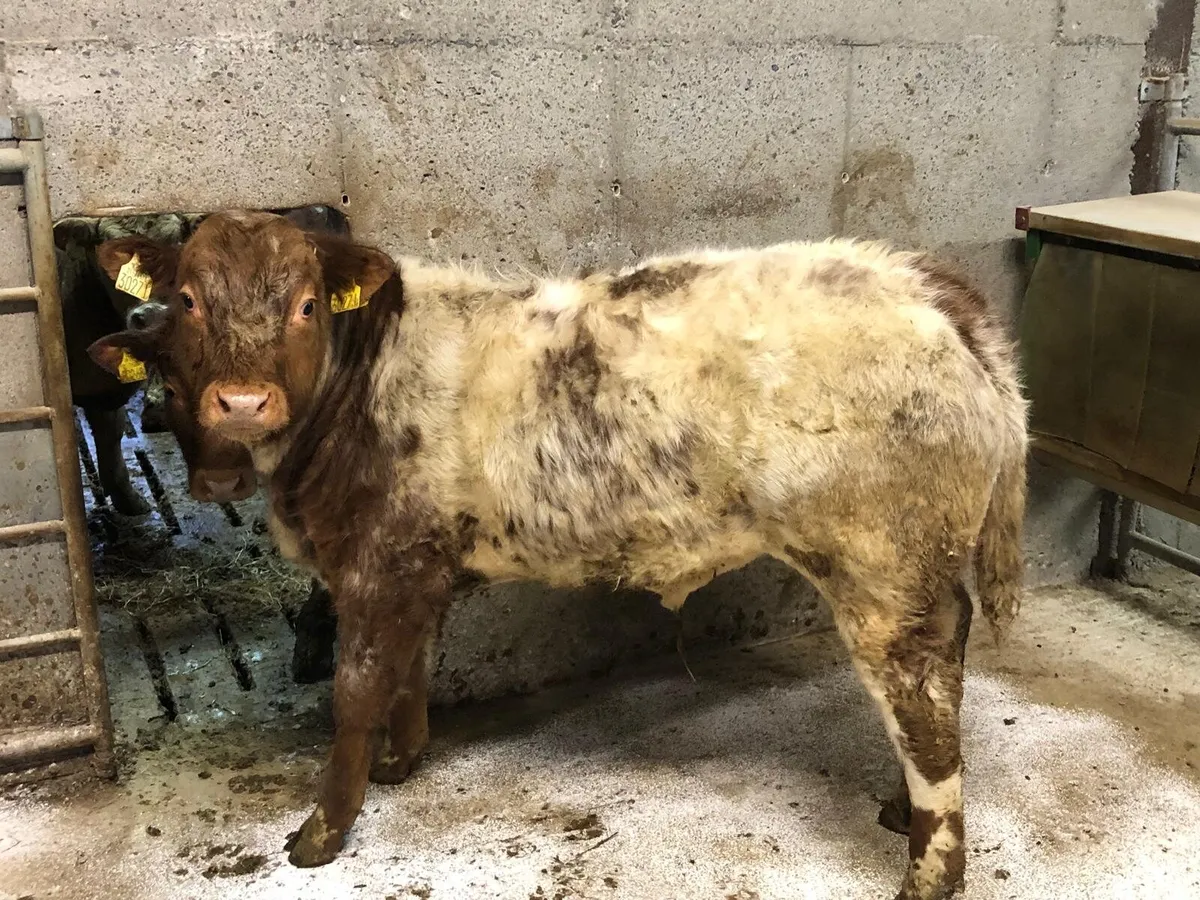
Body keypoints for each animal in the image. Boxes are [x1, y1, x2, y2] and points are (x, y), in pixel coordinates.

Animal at [87, 211, 1027, 900]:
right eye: (189, 300)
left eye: (307, 306)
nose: (242, 402)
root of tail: (917, 279)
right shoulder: (420, 564)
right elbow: (410, 669)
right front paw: (401, 762)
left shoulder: (376, 561)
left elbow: (355, 694)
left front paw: (320, 832)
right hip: (923, 565)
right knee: (950, 655)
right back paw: (897, 811)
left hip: (881, 569)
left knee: (925, 709)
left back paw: (927, 871)